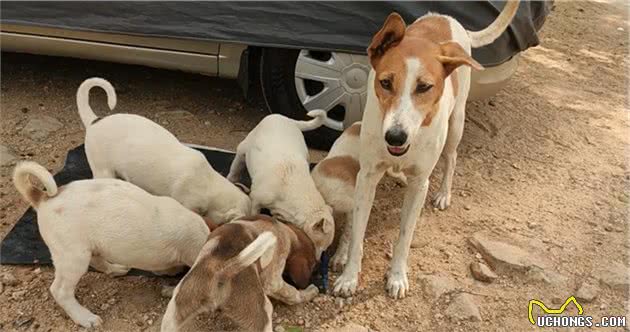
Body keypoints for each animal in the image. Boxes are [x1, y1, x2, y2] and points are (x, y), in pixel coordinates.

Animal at [12, 162, 210, 328]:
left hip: (87, 249)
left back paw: (115, 269)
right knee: (61, 291)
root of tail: (44, 197)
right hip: (73, 258)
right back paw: (85, 318)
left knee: (98, 261)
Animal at [162, 215, 320, 332]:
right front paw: (308, 292)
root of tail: (224, 270)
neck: (285, 230)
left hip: (172, 317)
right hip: (262, 316)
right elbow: (293, 294)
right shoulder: (273, 280)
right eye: (313, 265)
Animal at [227, 113, 336, 260]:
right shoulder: (256, 201)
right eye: (318, 245)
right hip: (242, 149)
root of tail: (284, 118)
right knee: (236, 166)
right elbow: (255, 214)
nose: (318, 262)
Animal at [336, 0, 524, 300]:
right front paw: (349, 277)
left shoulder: (419, 184)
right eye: (385, 83)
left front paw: (397, 277)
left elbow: (405, 236)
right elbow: (357, 234)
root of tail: (445, 18)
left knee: (452, 157)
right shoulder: (367, 177)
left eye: (424, 87)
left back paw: (444, 194)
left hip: (456, 124)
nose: (395, 136)